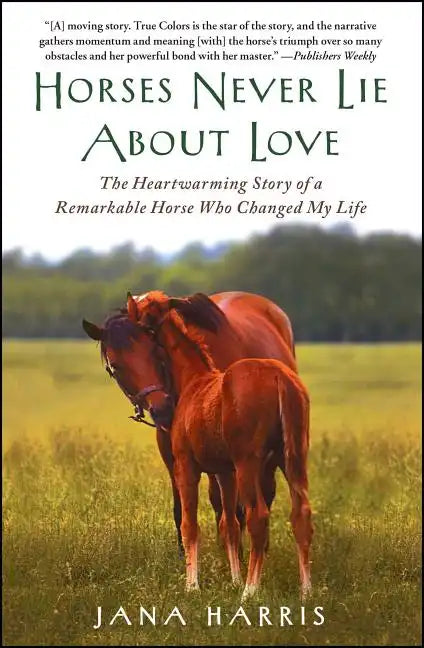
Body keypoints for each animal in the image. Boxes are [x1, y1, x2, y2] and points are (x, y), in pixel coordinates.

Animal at [84, 292, 312, 600]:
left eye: (154, 351)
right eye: (115, 367)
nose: (162, 410)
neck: (195, 379)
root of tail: (279, 377)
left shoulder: (187, 465)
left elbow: (191, 523)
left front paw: (192, 585)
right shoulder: (223, 471)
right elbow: (227, 522)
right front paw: (231, 577)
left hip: (250, 464)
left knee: (258, 515)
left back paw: (250, 590)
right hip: (292, 459)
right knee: (300, 514)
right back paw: (306, 590)